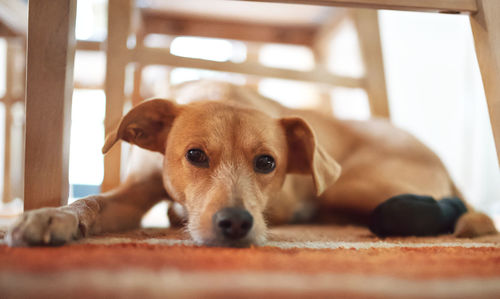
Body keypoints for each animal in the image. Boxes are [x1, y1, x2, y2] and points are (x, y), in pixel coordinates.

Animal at [4, 81, 496, 247]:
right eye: (194, 155)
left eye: (266, 162)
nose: (237, 224)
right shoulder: (131, 196)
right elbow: (91, 203)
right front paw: (49, 216)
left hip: (349, 184)